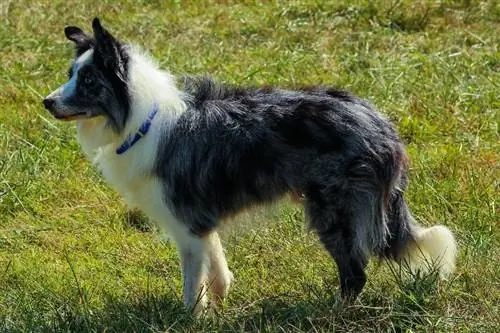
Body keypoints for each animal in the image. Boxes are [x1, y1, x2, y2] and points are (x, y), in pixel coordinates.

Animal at [44, 19, 458, 312]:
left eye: (89, 79)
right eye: (71, 75)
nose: (46, 102)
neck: (139, 117)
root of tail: (382, 125)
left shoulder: (184, 221)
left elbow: (191, 284)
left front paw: (191, 317)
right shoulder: (200, 222)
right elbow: (217, 265)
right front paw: (218, 302)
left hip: (334, 213)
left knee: (355, 273)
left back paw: (333, 311)